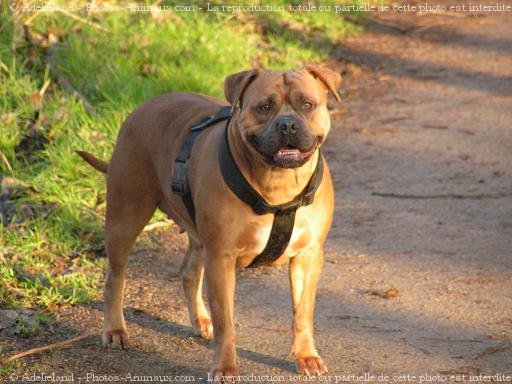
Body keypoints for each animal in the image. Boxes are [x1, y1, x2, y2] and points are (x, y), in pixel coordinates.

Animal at [79, 64, 340, 380]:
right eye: (264, 107)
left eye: (307, 104)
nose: (287, 125)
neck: (279, 184)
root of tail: (142, 106)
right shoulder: (222, 259)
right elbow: (226, 322)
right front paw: (225, 367)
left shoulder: (308, 256)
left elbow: (302, 312)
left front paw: (306, 355)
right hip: (125, 218)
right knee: (115, 278)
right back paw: (115, 330)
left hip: (196, 235)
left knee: (189, 272)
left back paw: (201, 320)